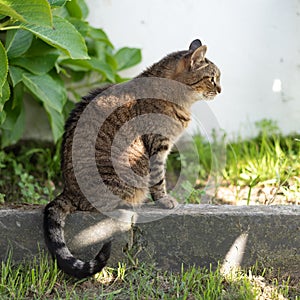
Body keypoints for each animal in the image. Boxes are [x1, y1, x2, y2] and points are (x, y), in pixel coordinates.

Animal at [44, 38, 220, 278]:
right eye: (212, 78)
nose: (220, 89)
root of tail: (68, 191)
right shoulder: (158, 146)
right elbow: (159, 179)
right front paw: (165, 200)